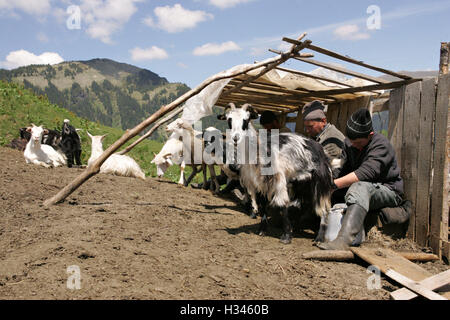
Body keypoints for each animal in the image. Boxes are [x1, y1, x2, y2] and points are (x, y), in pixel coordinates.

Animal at [216, 104, 332, 244]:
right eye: (229, 120)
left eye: (246, 120)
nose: (235, 138)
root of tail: (319, 149)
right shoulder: (260, 182)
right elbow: (263, 204)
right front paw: (262, 230)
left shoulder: (278, 180)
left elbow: (282, 205)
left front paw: (286, 236)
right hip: (302, 184)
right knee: (306, 205)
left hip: (320, 183)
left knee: (323, 208)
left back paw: (319, 238)